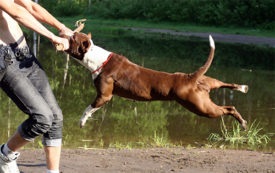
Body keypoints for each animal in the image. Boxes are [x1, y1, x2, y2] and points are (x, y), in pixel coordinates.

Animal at [64, 30, 250, 129]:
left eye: (73, 38)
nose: (65, 31)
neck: (98, 60)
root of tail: (192, 77)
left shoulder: (104, 96)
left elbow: (88, 109)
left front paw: (81, 121)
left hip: (201, 107)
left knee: (228, 108)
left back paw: (242, 122)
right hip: (207, 85)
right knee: (225, 85)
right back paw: (242, 88)